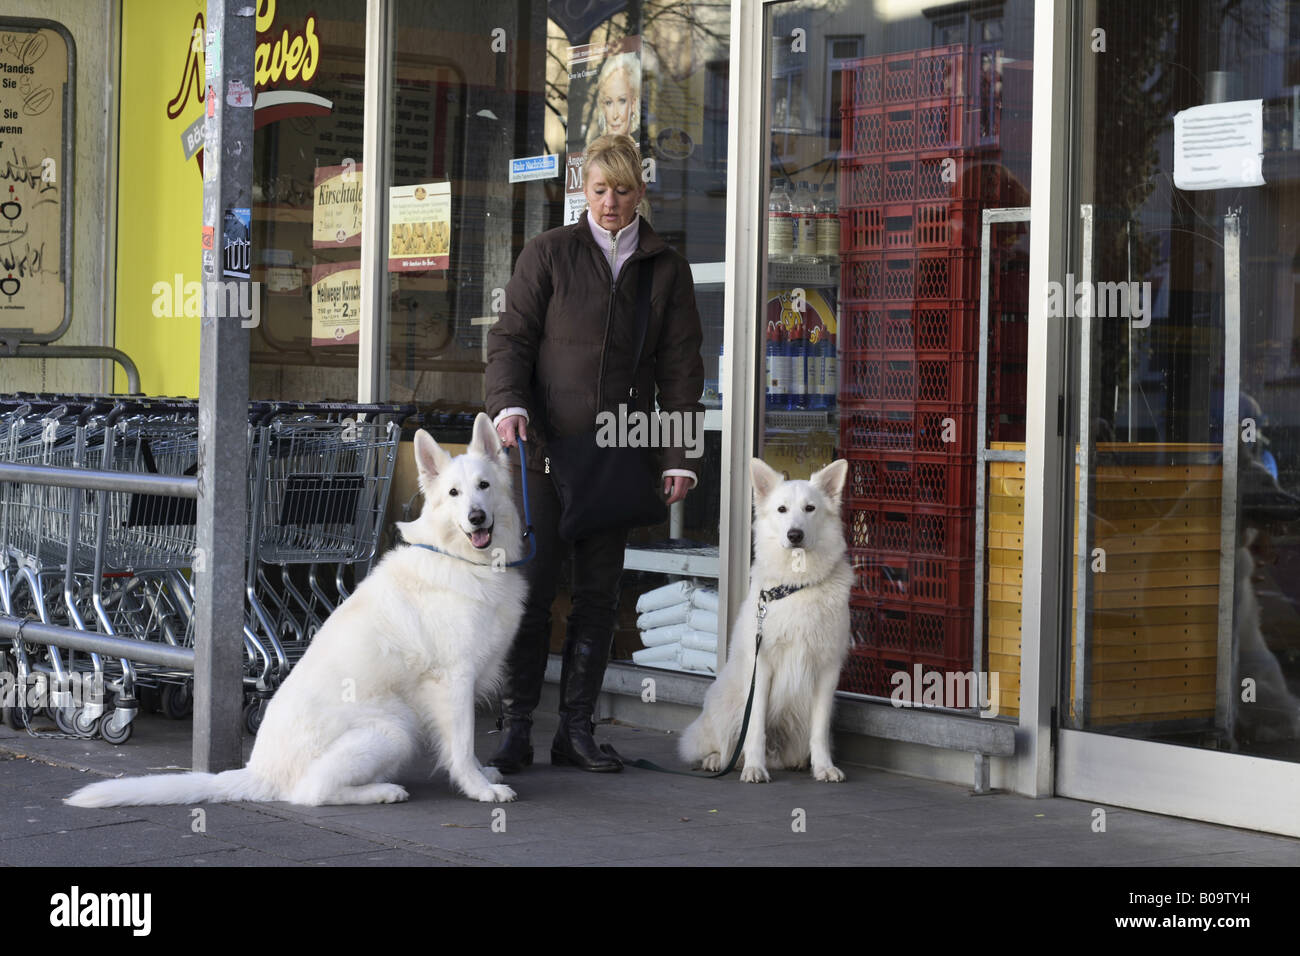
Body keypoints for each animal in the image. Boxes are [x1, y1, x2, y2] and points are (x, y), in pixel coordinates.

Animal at [67, 416, 527, 806]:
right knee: (311, 793)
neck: (459, 558)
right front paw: (479, 788)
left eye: (484, 486)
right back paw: (382, 791)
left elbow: (467, 747)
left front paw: (484, 774)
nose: (476, 517)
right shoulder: (454, 680)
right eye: (453, 494)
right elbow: (462, 746)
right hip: (395, 727)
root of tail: (257, 772)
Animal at [681, 457, 852, 785]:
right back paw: (719, 761)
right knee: (722, 744)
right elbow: (756, 727)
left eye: (810, 508)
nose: (795, 535)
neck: (797, 585)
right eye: (782, 509)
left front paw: (823, 767)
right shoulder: (762, 667)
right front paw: (754, 768)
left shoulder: (827, 670)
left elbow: (819, 731)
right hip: (725, 703)